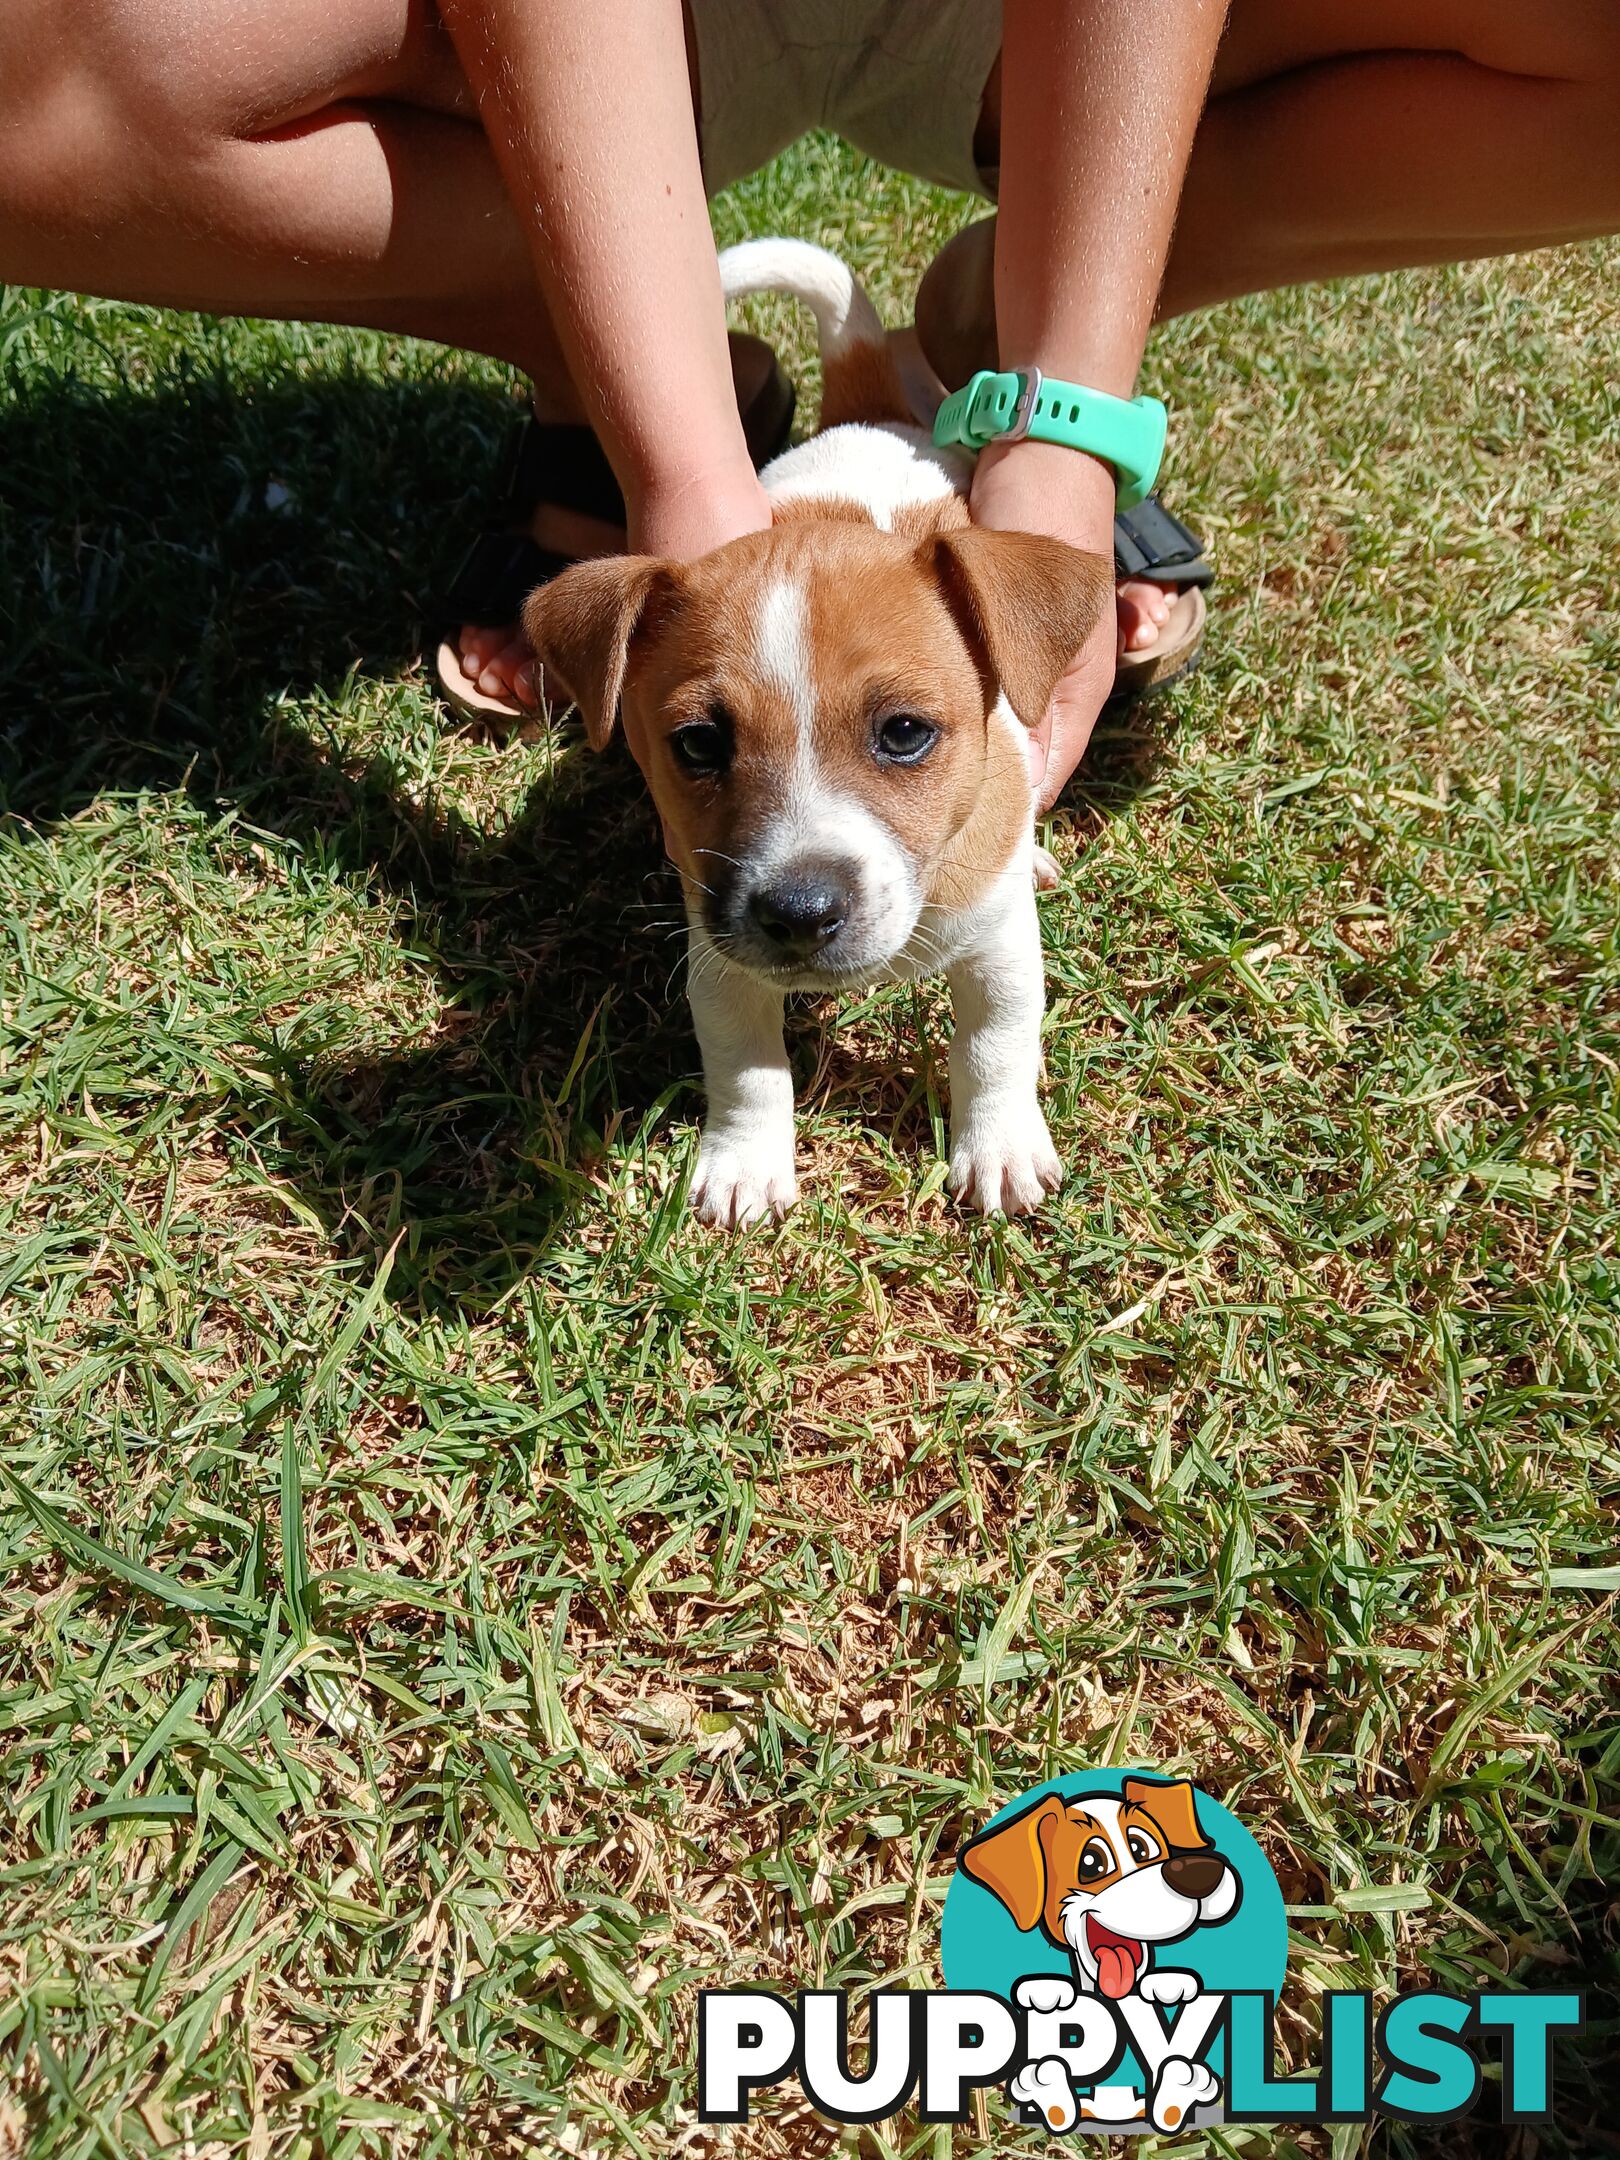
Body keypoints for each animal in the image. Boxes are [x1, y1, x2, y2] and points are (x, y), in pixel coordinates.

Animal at [527, 243, 1114, 1226]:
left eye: (905, 733)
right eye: (698, 745)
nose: (799, 914)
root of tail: (864, 413)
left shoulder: (999, 948)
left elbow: (996, 1045)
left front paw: (998, 1148)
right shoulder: (719, 956)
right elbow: (746, 1068)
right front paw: (744, 1163)